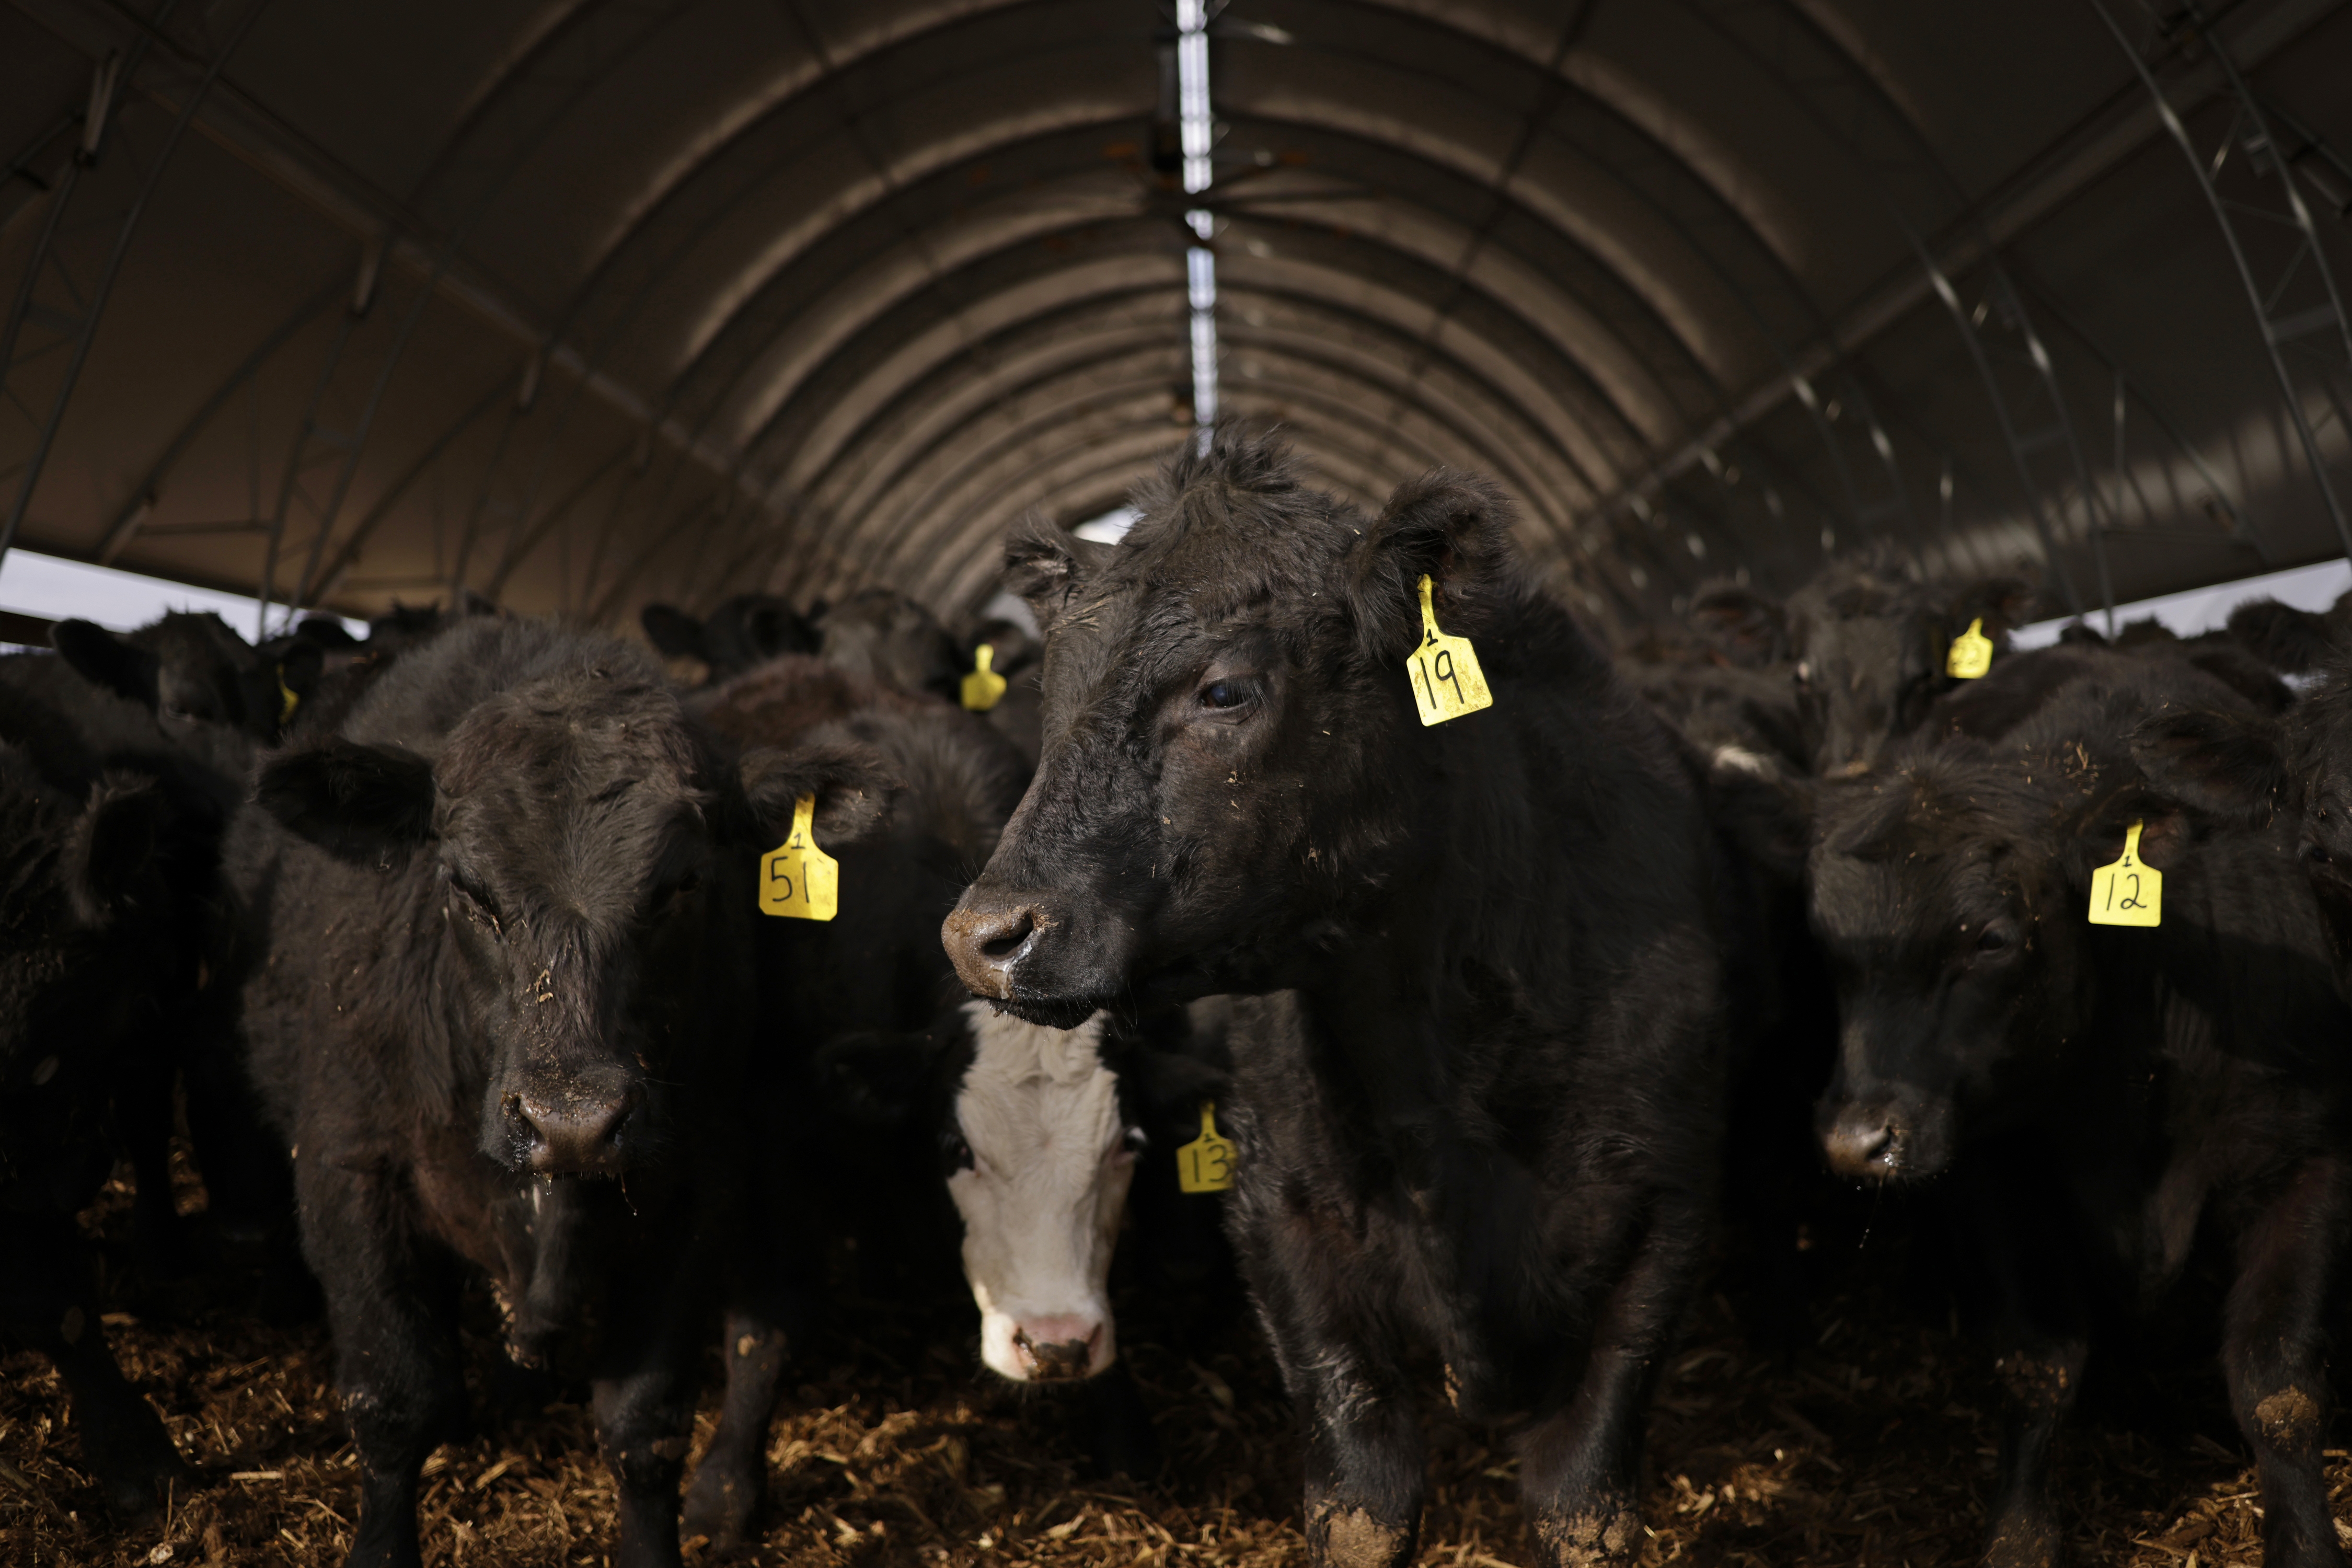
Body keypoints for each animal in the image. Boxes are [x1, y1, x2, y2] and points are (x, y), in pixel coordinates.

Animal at [228, 616, 890, 1568]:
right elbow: (394, 1402)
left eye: (682, 884)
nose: (571, 1123)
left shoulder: (696, 1189)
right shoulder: (346, 1173)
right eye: (467, 887)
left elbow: (644, 1424)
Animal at [940, 427, 1731, 1568]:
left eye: (1225, 691)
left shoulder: (1665, 1209)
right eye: (1052, 696)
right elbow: (1364, 1498)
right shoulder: (1284, 1222)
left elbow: (1582, 1503)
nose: (985, 935)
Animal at [1809, 660, 2350, 1568]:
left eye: (1991, 940)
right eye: (1829, 950)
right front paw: (2018, 1539)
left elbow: (2274, 1382)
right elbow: (2039, 1368)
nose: (1859, 1143)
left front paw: (2307, 1543)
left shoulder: (2307, 1159)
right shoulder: (1994, 1173)